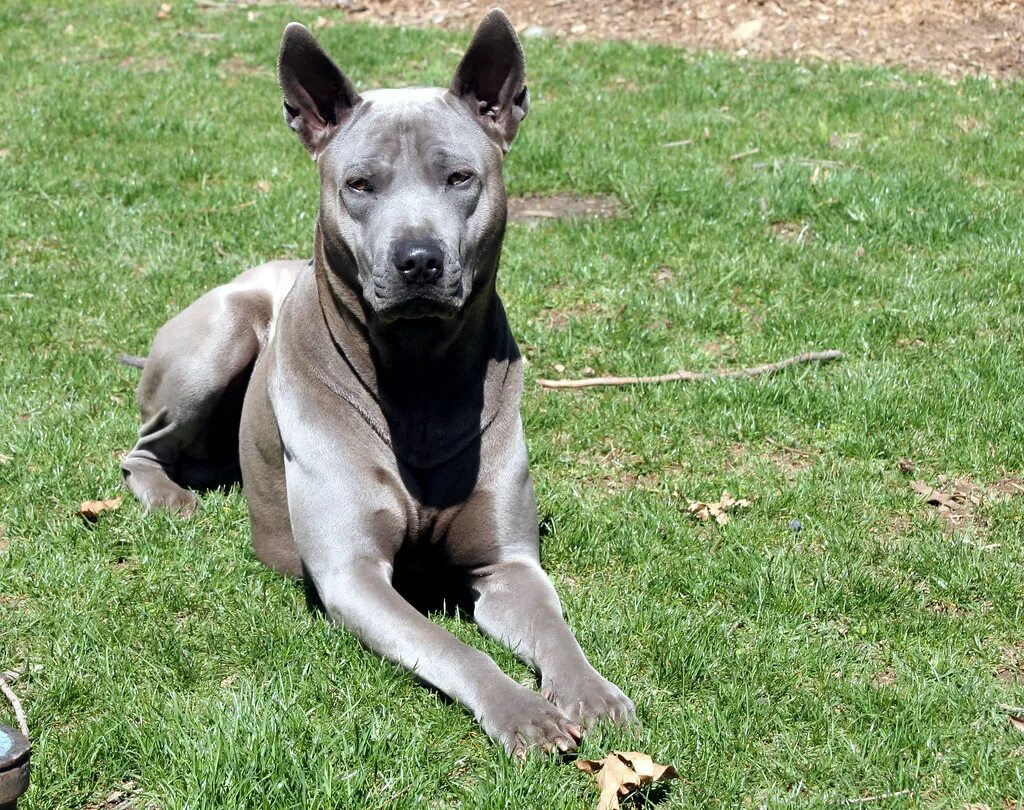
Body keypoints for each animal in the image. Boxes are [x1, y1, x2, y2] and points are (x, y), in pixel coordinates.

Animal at [119, 9, 630, 757]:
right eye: (360, 184)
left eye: (459, 177)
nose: (417, 259)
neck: (417, 373)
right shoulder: (353, 576)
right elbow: (452, 648)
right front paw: (521, 711)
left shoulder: (508, 567)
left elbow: (554, 625)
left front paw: (589, 691)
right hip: (219, 336)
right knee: (141, 449)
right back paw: (168, 496)